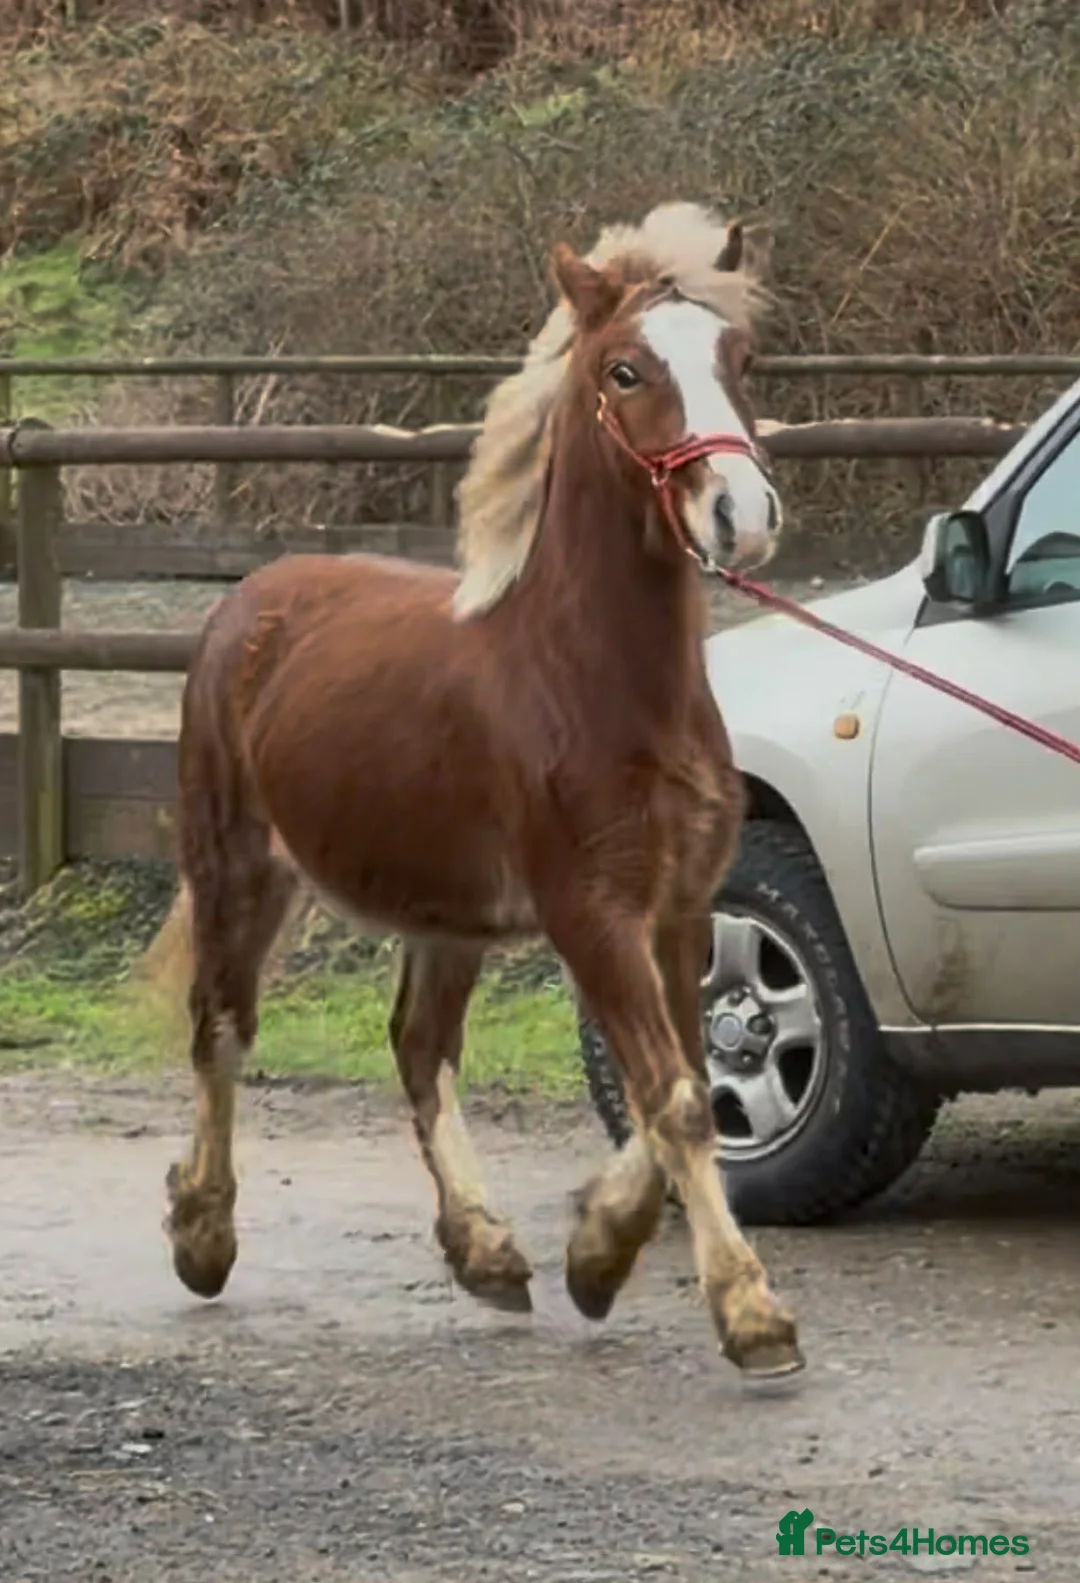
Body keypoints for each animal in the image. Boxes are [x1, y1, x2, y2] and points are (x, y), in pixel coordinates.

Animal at [146, 199, 803, 1378]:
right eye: (628, 369)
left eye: (741, 357)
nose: (744, 513)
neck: (595, 682)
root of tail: (252, 598)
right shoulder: (591, 913)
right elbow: (678, 1099)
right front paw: (751, 1313)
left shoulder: (678, 910)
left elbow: (678, 1087)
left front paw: (596, 1251)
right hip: (238, 869)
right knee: (221, 1029)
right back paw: (203, 1232)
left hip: (444, 916)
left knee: (418, 1045)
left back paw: (486, 1250)